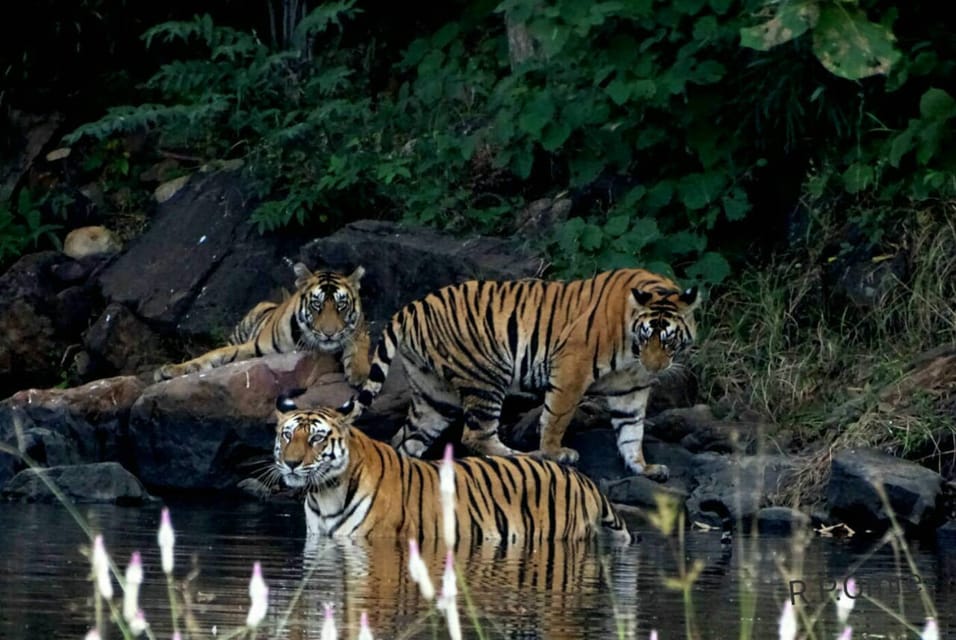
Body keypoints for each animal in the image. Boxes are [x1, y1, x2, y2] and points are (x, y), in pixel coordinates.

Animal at [153, 264, 370, 384]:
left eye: (341, 306)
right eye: (317, 305)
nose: (329, 333)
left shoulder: (359, 330)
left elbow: (359, 347)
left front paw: (359, 372)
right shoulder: (253, 347)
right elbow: (212, 356)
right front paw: (171, 370)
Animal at [350, 268, 696, 480]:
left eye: (667, 340)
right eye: (646, 336)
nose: (654, 367)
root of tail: (411, 307)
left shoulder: (631, 389)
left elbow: (631, 429)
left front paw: (643, 467)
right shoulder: (571, 366)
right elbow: (557, 416)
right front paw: (556, 452)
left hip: (434, 395)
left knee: (404, 439)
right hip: (487, 374)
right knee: (476, 435)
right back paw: (520, 455)